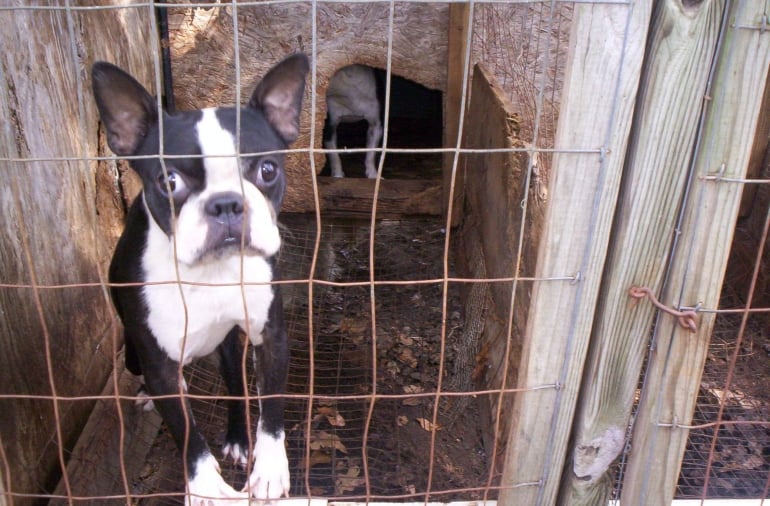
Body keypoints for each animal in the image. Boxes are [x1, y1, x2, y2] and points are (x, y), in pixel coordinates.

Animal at [95, 53, 308, 504]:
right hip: (137, 355)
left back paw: (239, 440)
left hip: (228, 345)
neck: (211, 271)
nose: (226, 203)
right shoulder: (159, 366)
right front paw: (207, 487)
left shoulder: (271, 336)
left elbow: (271, 409)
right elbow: (187, 433)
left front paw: (269, 470)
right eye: (169, 181)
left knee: (235, 384)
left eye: (267, 170)